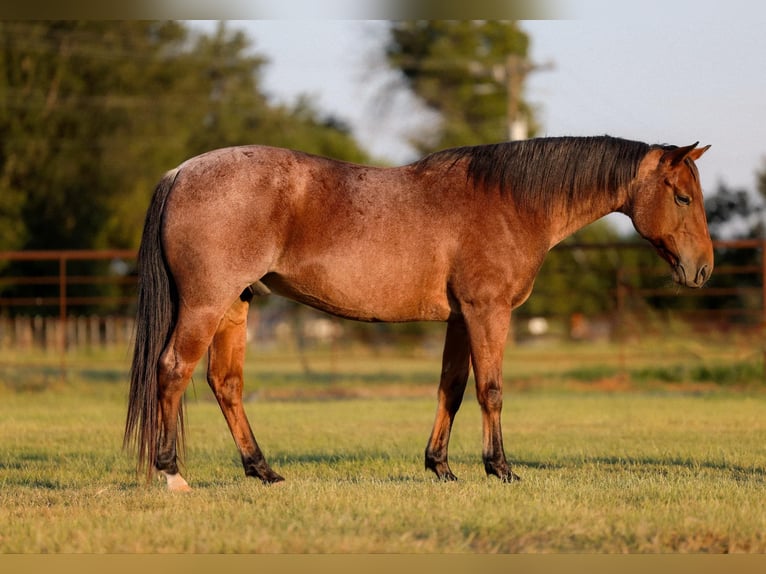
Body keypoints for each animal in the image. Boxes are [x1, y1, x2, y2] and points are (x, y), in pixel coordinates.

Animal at [124, 135, 713, 491]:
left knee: (225, 383)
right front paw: (500, 469)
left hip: (234, 306)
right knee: (172, 370)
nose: (703, 269)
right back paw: (172, 474)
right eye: (682, 198)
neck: (510, 202)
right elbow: (491, 389)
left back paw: (263, 471)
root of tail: (181, 172)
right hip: (205, 303)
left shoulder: (459, 319)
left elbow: (451, 389)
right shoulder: (487, 312)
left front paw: (442, 467)